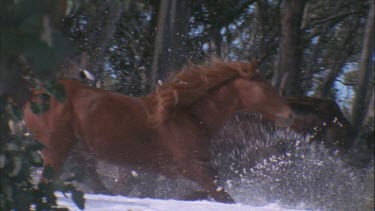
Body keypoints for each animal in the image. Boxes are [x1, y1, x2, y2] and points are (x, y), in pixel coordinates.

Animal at [23, 59, 296, 203]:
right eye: (266, 88)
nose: (290, 114)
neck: (190, 117)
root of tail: (32, 94)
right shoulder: (196, 169)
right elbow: (222, 196)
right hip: (56, 151)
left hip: (81, 154)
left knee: (98, 186)